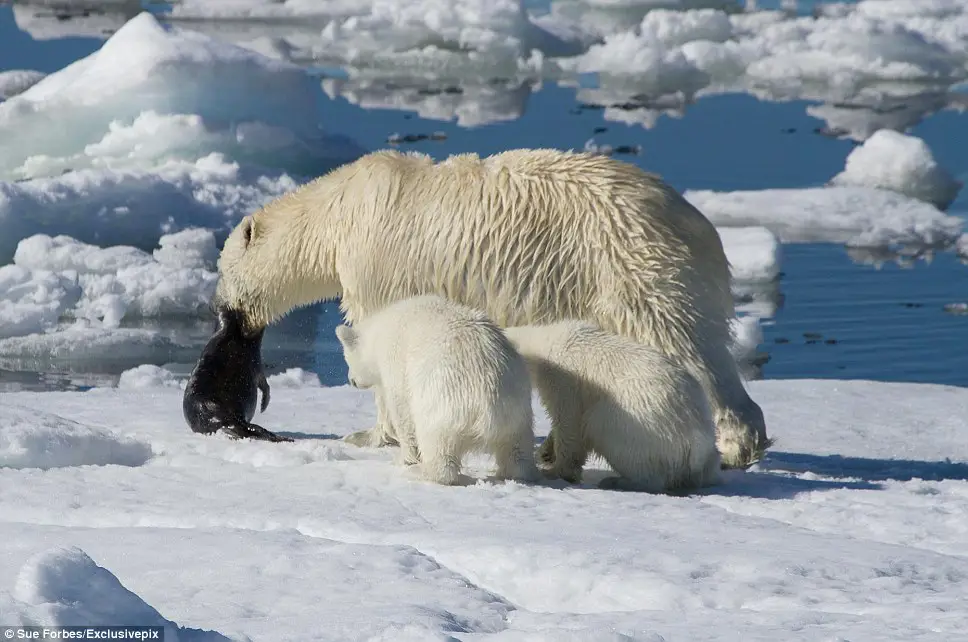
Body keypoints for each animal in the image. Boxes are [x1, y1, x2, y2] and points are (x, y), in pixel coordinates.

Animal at [214, 146, 772, 464]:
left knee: (686, 345)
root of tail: (698, 224)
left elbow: (381, 346)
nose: (223, 313)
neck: (340, 212)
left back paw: (733, 448)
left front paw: (368, 435)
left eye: (219, 273)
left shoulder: (375, 268)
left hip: (634, 265)